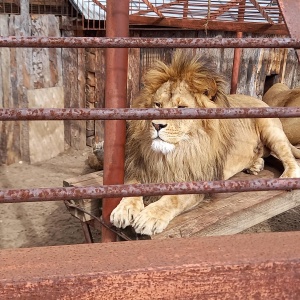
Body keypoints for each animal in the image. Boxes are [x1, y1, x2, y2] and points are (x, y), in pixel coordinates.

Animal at [110, 50, 300, 236]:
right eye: (157, 104)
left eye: (181, 108)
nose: (156, 125)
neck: (176, 152)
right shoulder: (140, 166)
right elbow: (132, 185)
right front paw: (124, 209)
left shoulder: (199, 179)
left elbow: (173, 199)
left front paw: (150, 216)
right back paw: (256, 165)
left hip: (270, 128)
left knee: (289, 158)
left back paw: (287, 177)